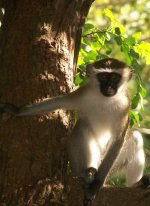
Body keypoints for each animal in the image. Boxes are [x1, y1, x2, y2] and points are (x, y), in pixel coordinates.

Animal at [0, 58, 146, 206]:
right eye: (103, 76)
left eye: (115, 77)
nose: (109, 88)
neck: (105, 100)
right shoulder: (83, 94)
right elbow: (58, 101)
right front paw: (17, 111)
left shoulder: (124, 106)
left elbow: (118, 140)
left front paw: (96, 185)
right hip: (93, 158)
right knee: (81, 126)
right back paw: (85, 174)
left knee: (135, 137)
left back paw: (135, 185)